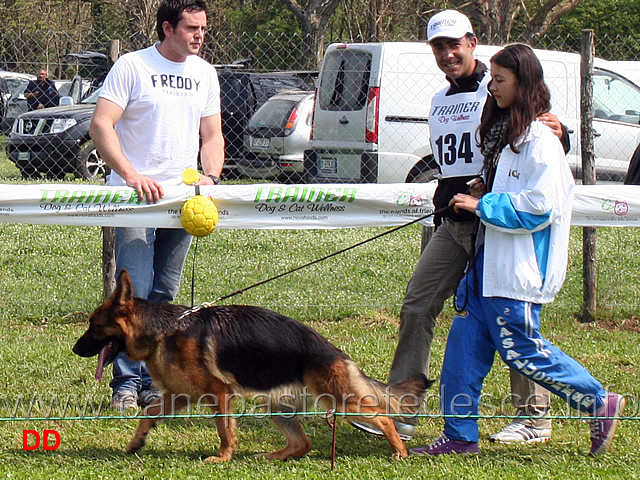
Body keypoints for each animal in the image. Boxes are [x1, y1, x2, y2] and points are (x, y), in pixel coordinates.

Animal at [74, 270, 430, 462]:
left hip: (341, 399)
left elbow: (225, 429)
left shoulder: (218, 393)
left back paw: (399, 451)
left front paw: (222, 457)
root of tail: (335, 351)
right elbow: (149, 413)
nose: (75, 349)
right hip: (275, 405)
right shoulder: (180, 394)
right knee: (302, 443)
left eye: (93, 326)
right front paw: (137, 442)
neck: (164, 329)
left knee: (383, 417)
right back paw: (270, 456)